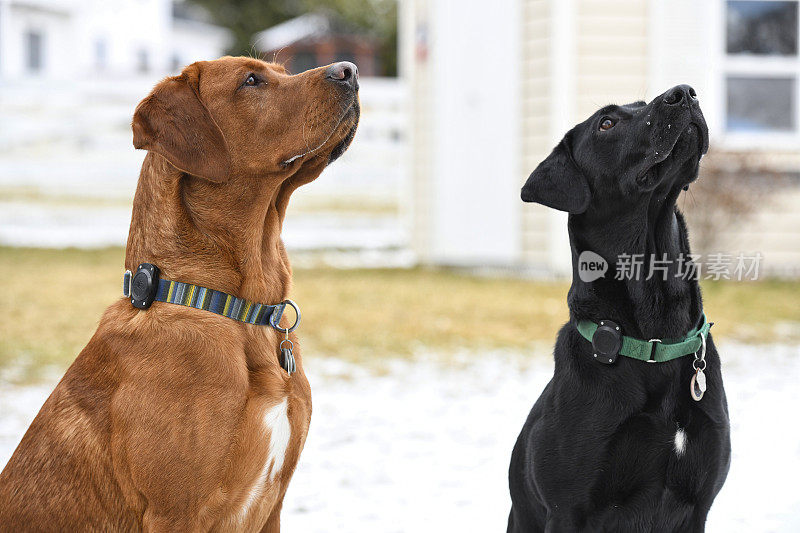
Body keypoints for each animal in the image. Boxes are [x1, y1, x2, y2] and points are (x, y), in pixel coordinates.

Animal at [0, 56, 360, 528]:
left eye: (281, 70)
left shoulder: (274, 505)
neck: (237, 310)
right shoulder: (176, 511)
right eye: (251, 80)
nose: (350, 70)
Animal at [506, 85, 732, 528]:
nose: (684, 92)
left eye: (642, 104)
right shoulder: (568, 508)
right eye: (606, 123)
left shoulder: (700, 501)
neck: (656, 339)